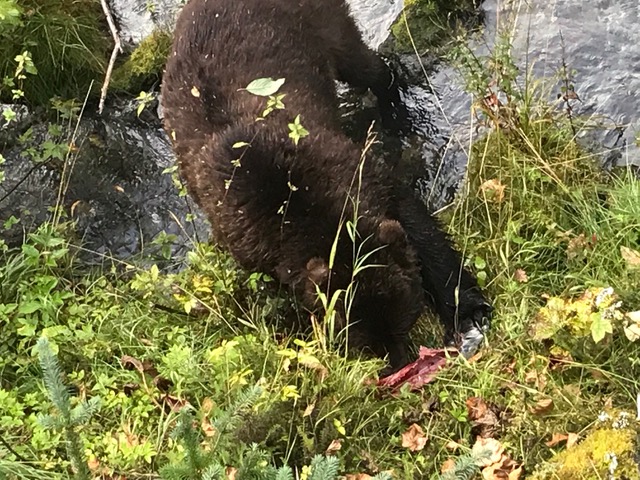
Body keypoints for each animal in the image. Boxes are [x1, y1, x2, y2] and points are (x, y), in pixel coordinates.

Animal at [160, 0, 492, 372]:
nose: (398, 364)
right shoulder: (245, 237)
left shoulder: (354, 174)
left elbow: (419, 227)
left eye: (404, 318)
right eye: (363, 340)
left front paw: (467, 314)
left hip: (323, 23)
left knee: (363, 65)